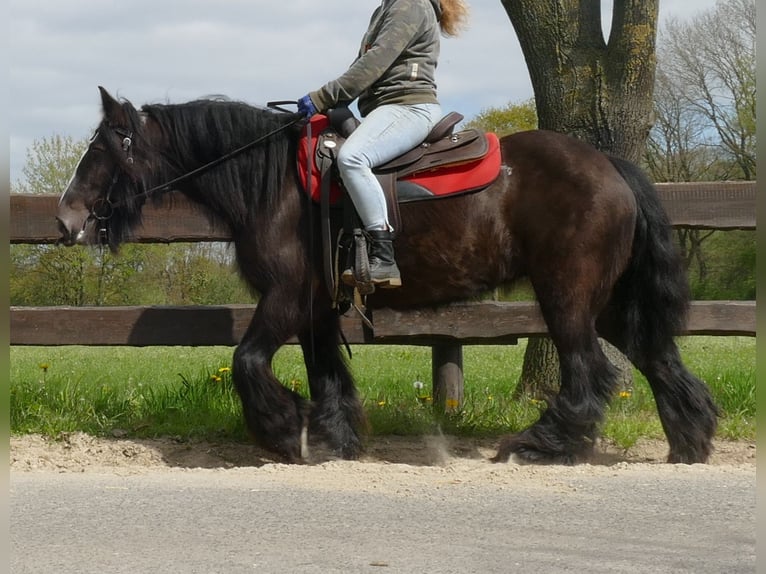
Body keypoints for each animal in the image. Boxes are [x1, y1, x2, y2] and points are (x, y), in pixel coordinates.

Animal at [55, 89, 720, 468]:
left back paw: (544, 446)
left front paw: (283, 432)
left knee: (590, 371)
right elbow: (326, 372)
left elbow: (247, 361)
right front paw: (331, 436)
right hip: (606, 303)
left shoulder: (284, 297)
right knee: (657, 357)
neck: (276, 186)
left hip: (568, 298)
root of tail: (608, 165)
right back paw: (690, 440)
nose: (66, 220)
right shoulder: (316, 305)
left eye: (109, 146)